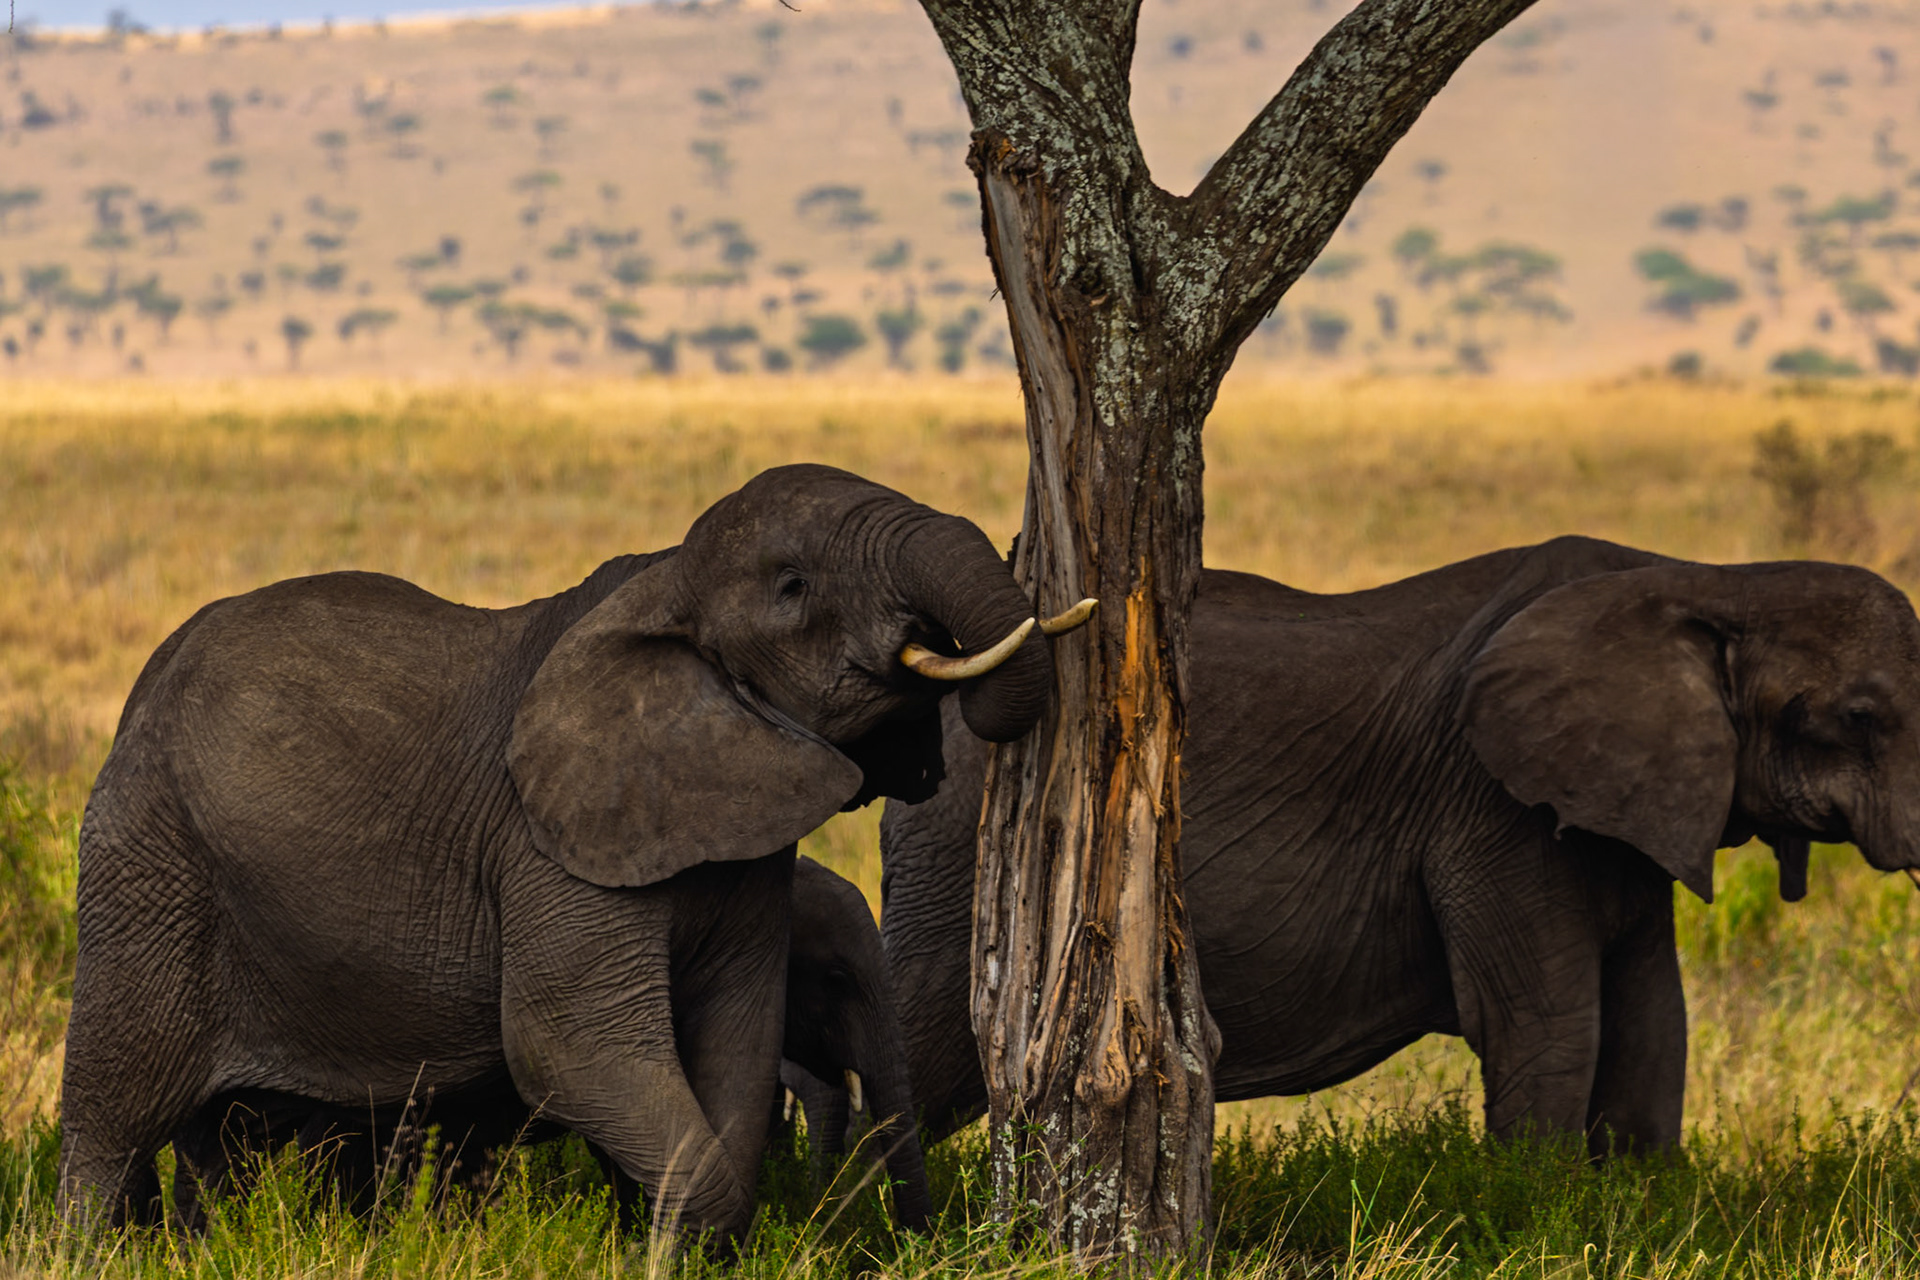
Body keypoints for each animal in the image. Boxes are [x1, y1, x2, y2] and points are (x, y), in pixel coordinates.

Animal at [879, 536, 1920, 1157]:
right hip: (959, 858)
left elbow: (1653, 1024)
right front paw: (1543, 1212)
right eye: (1860, 717)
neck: (1714, 577)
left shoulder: (1625, 811)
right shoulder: (1494, 806)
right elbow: (1553, 1025)